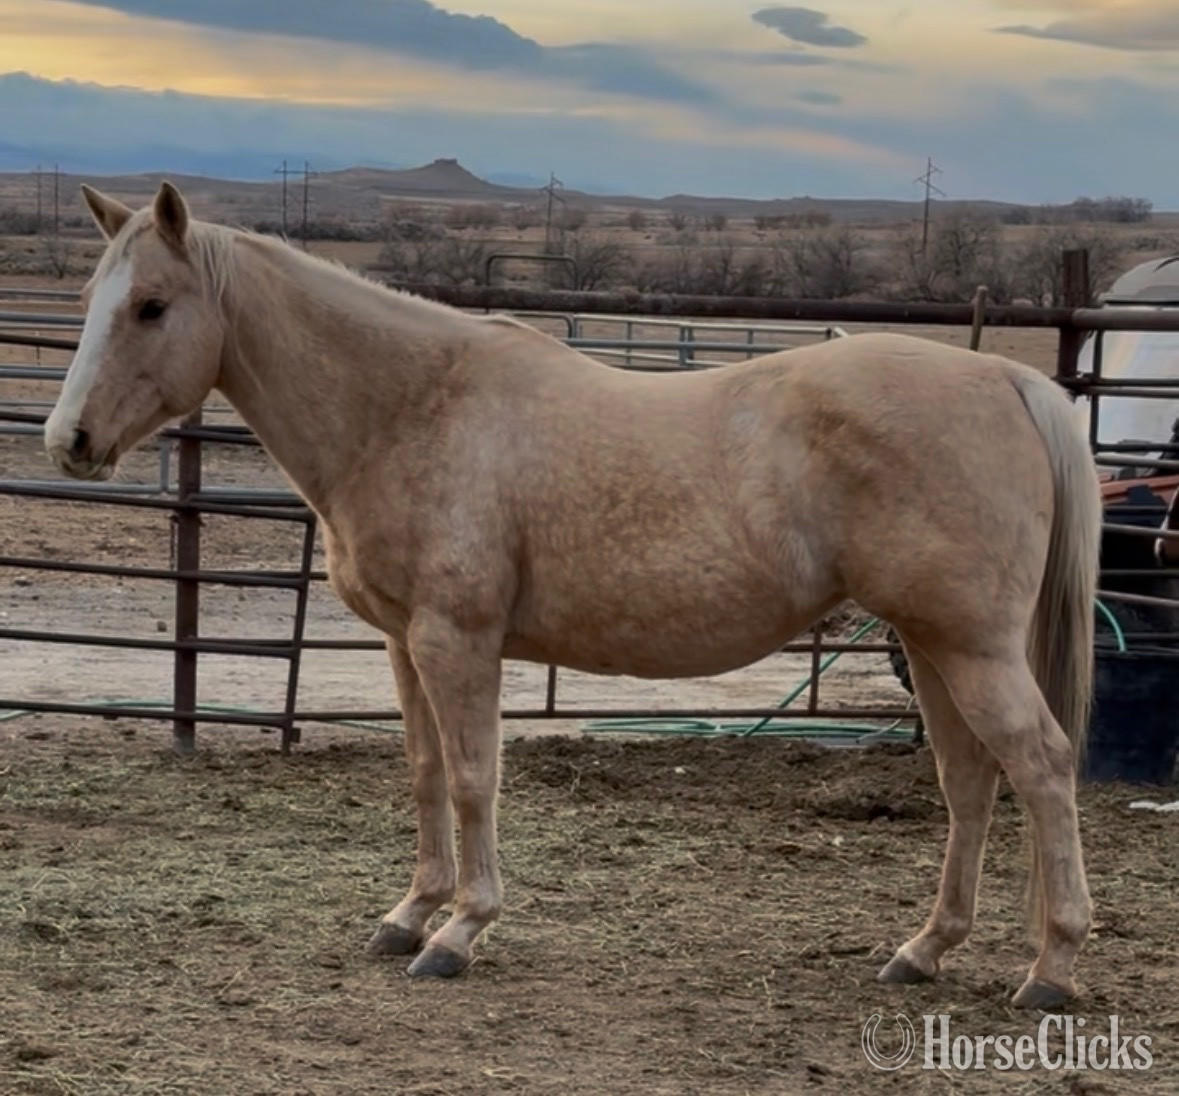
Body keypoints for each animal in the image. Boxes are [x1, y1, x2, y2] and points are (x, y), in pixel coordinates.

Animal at [43, 181, 1102, 1009]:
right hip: (931, 642)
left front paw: (459, 932)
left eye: (150, 306)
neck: (414, 407)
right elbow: (425, 774)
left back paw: (1050, 968)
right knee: (968, 781)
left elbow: (475, 779)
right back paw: (923, 951)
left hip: (969, 646)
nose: (68, 441)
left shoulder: (457, 640)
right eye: (93, 298)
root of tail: (1006, 379)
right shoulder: (403, 644)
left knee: (1043, 766)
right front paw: (408, 914)